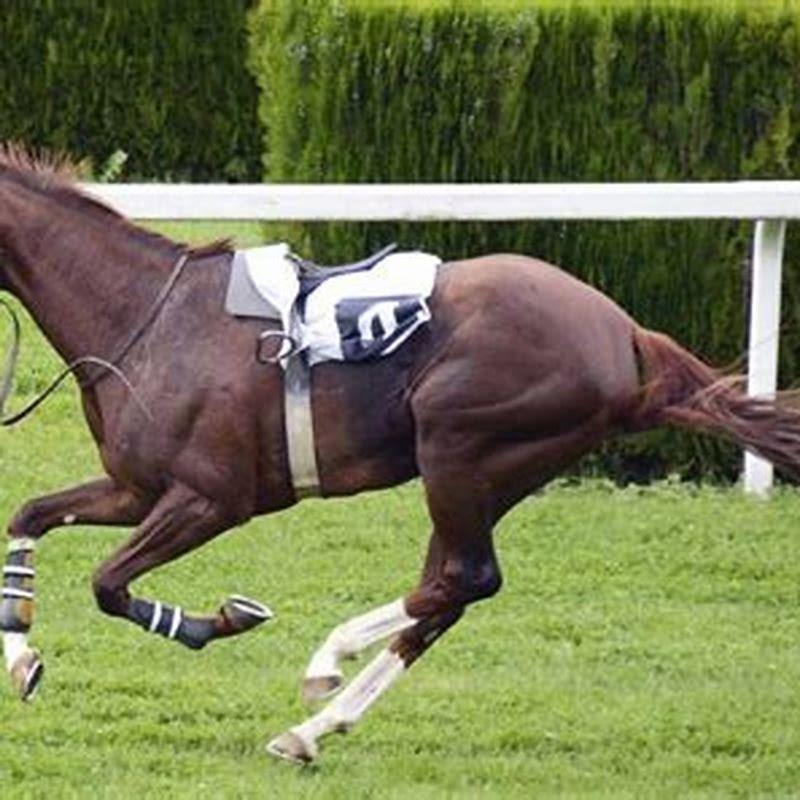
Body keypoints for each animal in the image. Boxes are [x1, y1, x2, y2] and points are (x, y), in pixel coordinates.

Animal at [1, 144, 799, 765]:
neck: (146, 317)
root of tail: (625, 333)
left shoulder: (211, 498)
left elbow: (107, 582)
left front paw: (218, 620)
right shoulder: (135, 487)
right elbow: (30, 516)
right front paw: (23, 658)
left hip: (457, 447)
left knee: (465, 578)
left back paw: (328, 661)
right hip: (489, 474)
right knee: (449, 591)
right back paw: (312, 728)